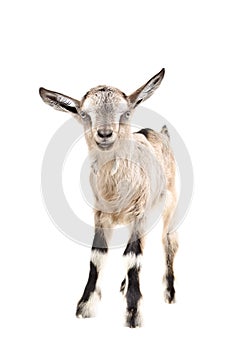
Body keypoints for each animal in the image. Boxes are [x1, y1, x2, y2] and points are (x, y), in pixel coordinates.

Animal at [39, 69, 179, 328]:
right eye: (84, 114)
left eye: (126, 112)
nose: (105, 134)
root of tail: (160, 133)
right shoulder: (100, 215)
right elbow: (98, 255)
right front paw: (85, 307)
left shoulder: (139, 213)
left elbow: (133, 256)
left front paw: (133, 314)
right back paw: (124, 286)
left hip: (171, 201)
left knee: (168, 241)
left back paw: (170, 293)